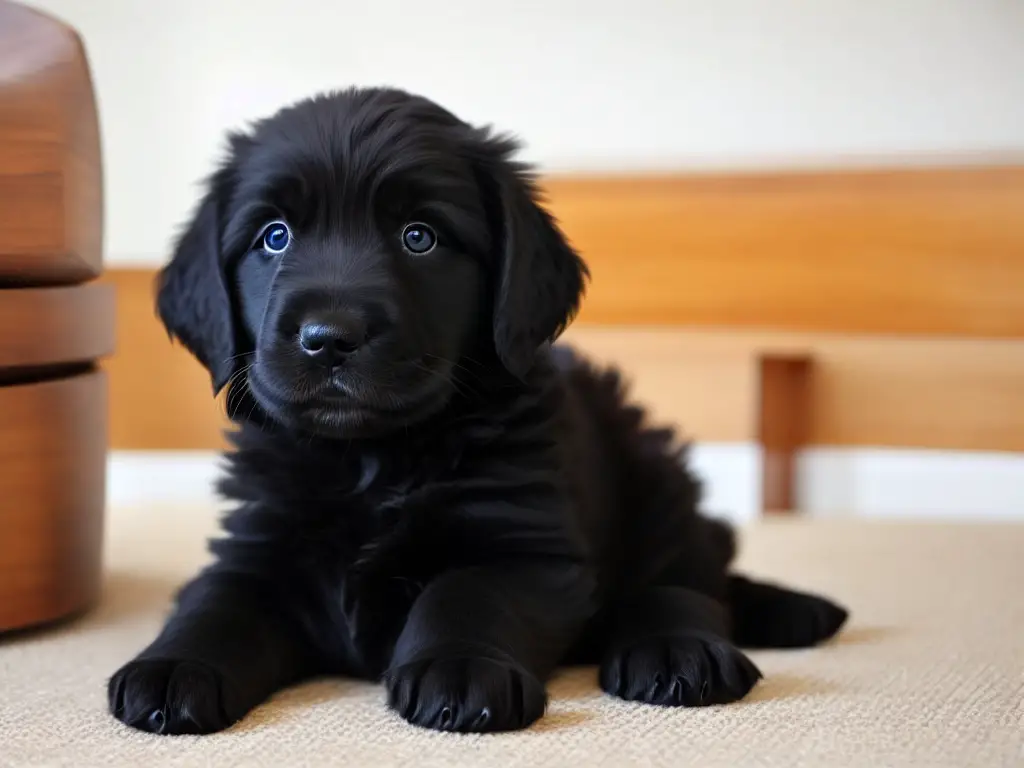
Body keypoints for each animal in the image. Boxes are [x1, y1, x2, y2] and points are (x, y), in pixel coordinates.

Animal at [110, 87, 847, 737]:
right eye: (274, 236)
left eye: (420, 237)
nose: (329, 337)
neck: (372, 461)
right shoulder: (259, 541)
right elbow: (216, 603)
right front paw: (172, 666)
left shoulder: (524, 542)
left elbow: (464, 591)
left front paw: (460, 668)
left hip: (651, 471)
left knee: (689, 581)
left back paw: (681, 650)